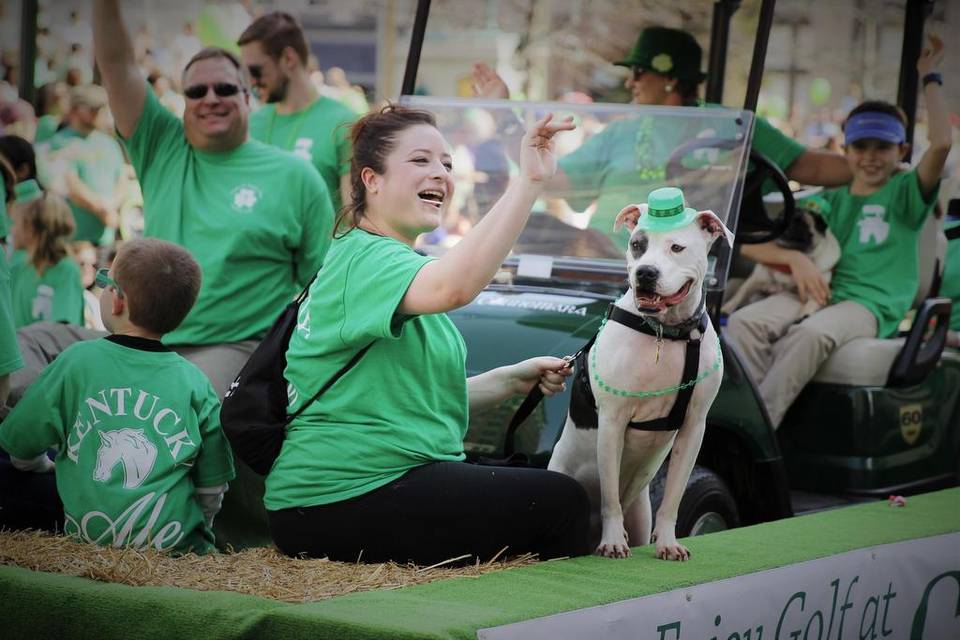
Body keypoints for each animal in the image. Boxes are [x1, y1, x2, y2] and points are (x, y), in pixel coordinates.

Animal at [552, 186, 732, 560]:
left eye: (677, 247)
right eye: (637, 244)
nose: (646, 272)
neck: (668, 332)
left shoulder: (694, 426)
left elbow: (674, 497)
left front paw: (667, 543)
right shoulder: (612, 421)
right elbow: (609, 498)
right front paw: (612, 542)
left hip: (639, 510)